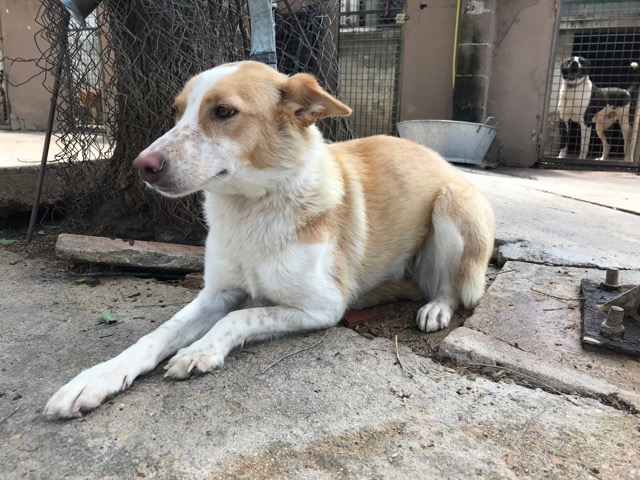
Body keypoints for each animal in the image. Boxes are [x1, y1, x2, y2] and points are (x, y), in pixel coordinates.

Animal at [44, 61, 495, 418]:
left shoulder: (322, 308)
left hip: (452, 205)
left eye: (224, 111)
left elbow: (238, 317)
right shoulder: (217, 292)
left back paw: (435, 309)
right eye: (176, 112)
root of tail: (435, 156)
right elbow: (160, 333)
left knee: (452, 286)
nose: (143, 166)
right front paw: (96, 378)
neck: (251, 210)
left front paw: (200, 351)